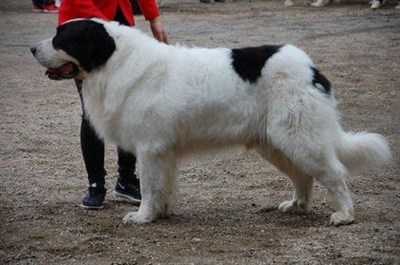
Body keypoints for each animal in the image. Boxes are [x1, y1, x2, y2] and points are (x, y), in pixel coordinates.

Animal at [30, 18, 390, 225]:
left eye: (62, 38)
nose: (32, 48)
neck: (114, 61)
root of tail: (312, 68)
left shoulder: (150, 147)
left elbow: (148, 186)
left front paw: (142, 216)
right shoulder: (163, 152)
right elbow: (163, 185)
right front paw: (160, 213)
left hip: (299, 137)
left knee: (333, 174)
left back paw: (345, 215)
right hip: (277, 143)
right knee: (304, 176)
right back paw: (297, 205)